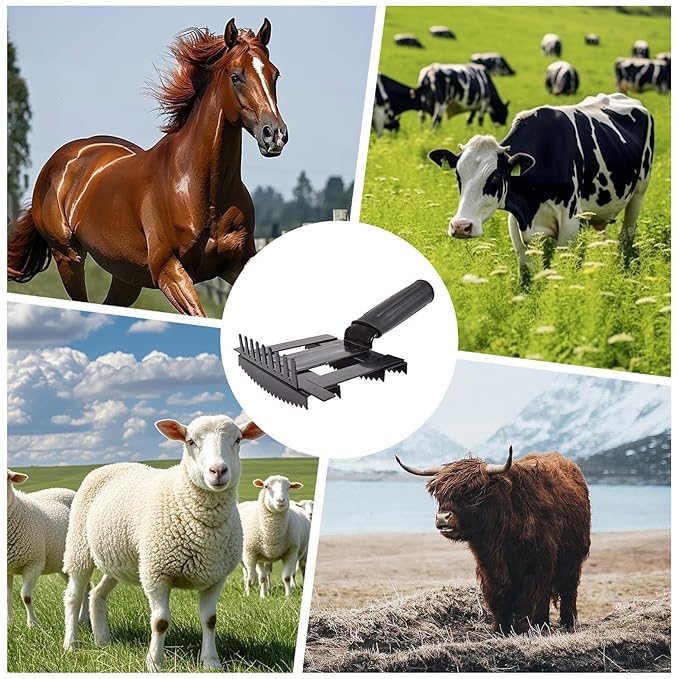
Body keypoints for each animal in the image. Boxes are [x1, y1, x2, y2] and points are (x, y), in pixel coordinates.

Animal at [8, 18, 287, 316]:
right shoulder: (169, 272)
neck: (203, 191)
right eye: (236, 76)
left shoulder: (238, 263)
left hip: (126, 275)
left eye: (274, 75)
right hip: (68, 257)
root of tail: (61, 160)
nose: (275, 135)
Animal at [395, 447, 591, 634]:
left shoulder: (537, 563)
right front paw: (501, 628)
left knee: (567, 589)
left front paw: (522, 629)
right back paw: (542, 624)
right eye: (439, 493)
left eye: (469, 492)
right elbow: (499, 593)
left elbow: (528, 598)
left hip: (572, 560)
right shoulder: (488, 564)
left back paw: (567, 623)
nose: (443, 518)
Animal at [428, 93, 654, 272]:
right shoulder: (516, 221)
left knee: (627, 236)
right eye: (458, 176)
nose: (460, 226)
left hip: (639, 193)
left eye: (495, 177)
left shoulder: (569, 221)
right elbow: (527, 270)